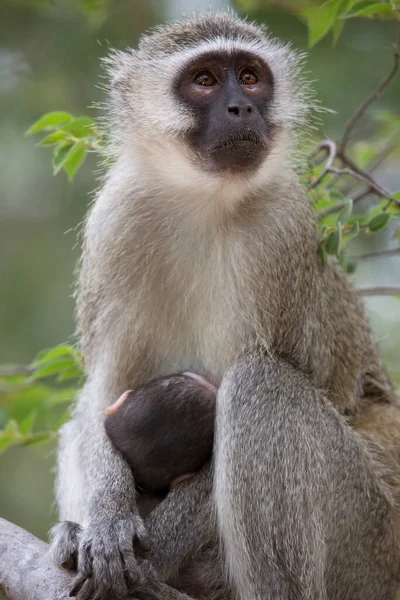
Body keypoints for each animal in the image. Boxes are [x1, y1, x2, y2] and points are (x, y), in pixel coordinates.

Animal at [49, 9, 400, 600]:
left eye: (251, 78)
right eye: (206, 80)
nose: (242, 108)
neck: (203, 201)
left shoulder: (283, 230)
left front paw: (151, 556)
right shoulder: (116, 220)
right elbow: (105, 391)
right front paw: (107, 520)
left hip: (371, 541)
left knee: (263, 385)